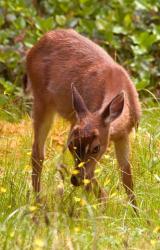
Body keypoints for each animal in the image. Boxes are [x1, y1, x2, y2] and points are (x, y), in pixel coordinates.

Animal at [24, 27, 141, 211]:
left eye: (96, 148)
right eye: (71, 146)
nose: (74, 180)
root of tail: (37, 44)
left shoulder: (123, 135)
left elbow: (126, 175)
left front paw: (136, 212)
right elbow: (92, 176)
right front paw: (102, 206)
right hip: (41, 100)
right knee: (37, 152)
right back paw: (38, 204)